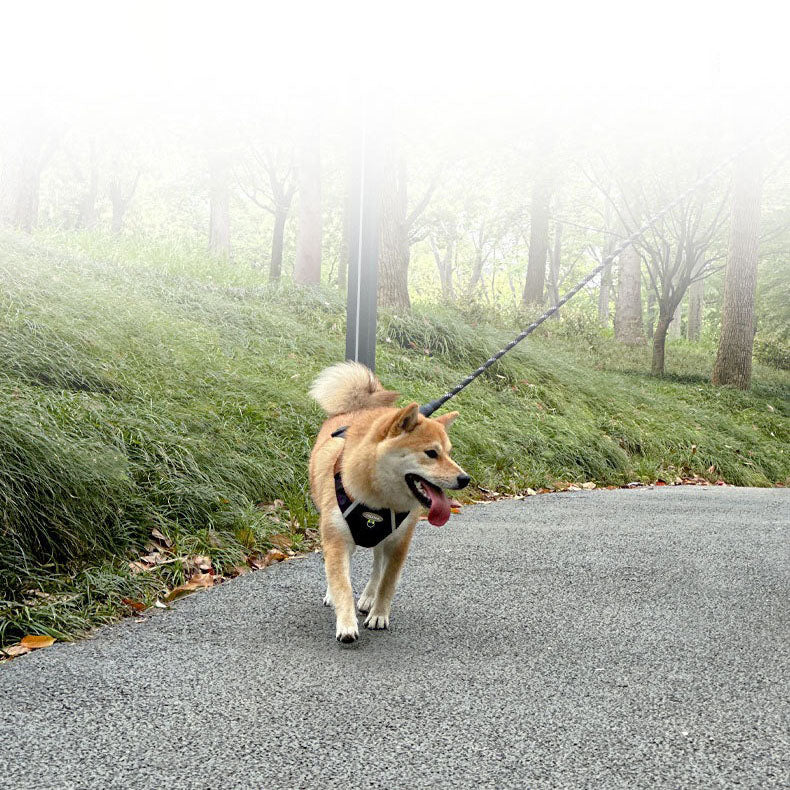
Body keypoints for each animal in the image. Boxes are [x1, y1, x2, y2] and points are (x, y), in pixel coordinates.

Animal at [310, 364, 470, 644]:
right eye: (431, 453)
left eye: (449, 453)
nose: (465, 479)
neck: (377, 498)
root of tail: (357, 408)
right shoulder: (337, 539)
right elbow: (342, 582)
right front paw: (346, 622)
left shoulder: (399, 542)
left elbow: (387, 581)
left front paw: (379, 614)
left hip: (383, 538)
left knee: (377, 566)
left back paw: (368, 598)